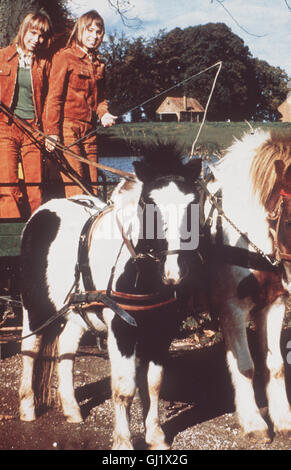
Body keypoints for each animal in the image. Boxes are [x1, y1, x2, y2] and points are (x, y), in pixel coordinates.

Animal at [18, 142, 203, 448]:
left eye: (193, 204)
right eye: (149, 203)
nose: (175, 272)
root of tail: (43, 210)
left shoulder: (163, 329)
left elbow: (153, 383)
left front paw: (156, 435)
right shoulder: (121, 329)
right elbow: (124, 388)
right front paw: (123, 440)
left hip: (75, 311)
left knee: (66, 348)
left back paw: (71, 409)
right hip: (34, 305)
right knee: (30, 349)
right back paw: (27, 408)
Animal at [202, 129, 291, 440]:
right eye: (290, 220)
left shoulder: (274, 304)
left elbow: (275, 364)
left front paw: (283, 418)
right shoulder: (233, 310)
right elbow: (245, 366)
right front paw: (253, 421)